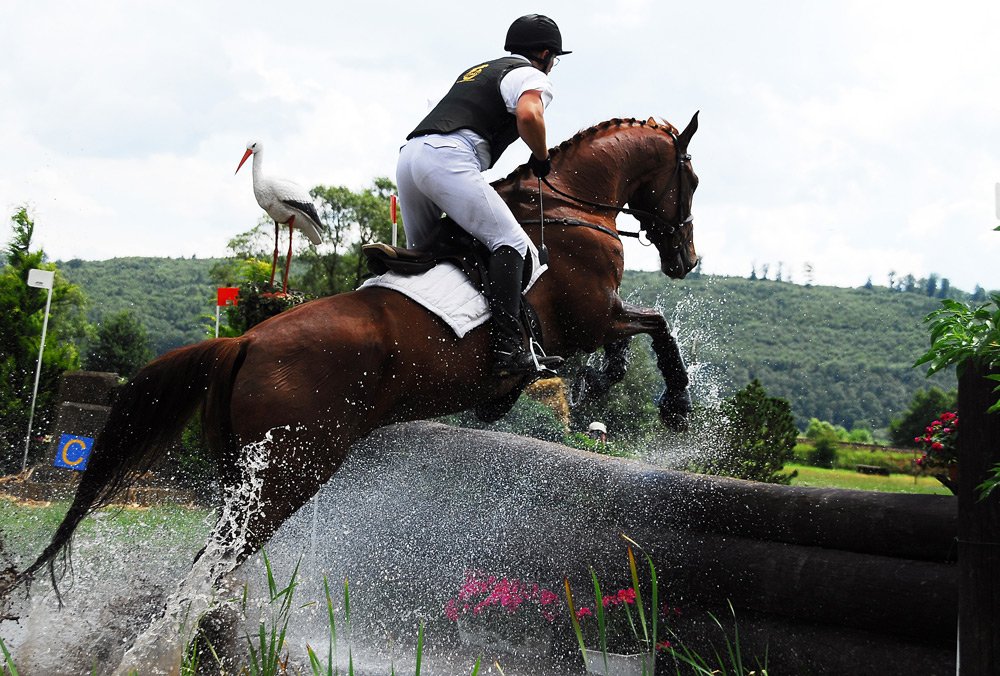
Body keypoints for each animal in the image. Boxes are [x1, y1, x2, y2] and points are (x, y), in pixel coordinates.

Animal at [9, 113, 696, 672]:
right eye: (689, 180)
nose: (687, 259)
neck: (572, 207)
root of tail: (245, 342)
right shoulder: (589, 318)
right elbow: (654, 326)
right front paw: (674, 404)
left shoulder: (592, 323)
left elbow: (633, 335)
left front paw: (592, 382)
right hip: (292, 472)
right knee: (212, 565)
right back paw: (164, 655)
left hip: (247, 475)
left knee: (213, 561)